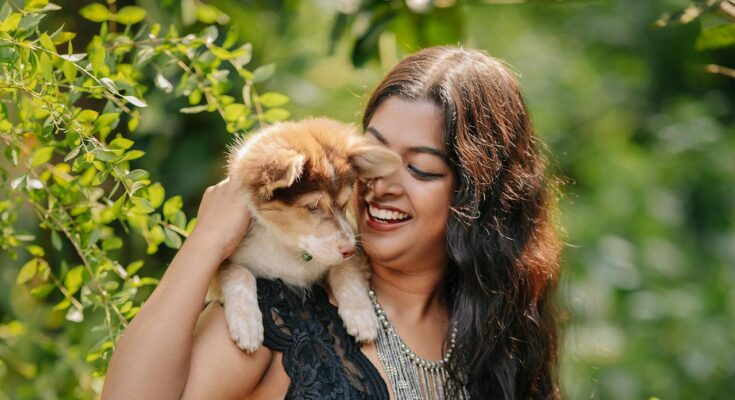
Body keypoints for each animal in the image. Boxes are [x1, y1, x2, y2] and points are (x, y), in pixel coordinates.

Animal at [207, 117, 402, 352]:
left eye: (345, 203)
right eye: (312, 206)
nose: (350, 249)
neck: (289, 245)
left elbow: (344, 269)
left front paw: (361, 315)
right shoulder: (224, 261)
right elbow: (237, 272)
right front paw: (246, 323)